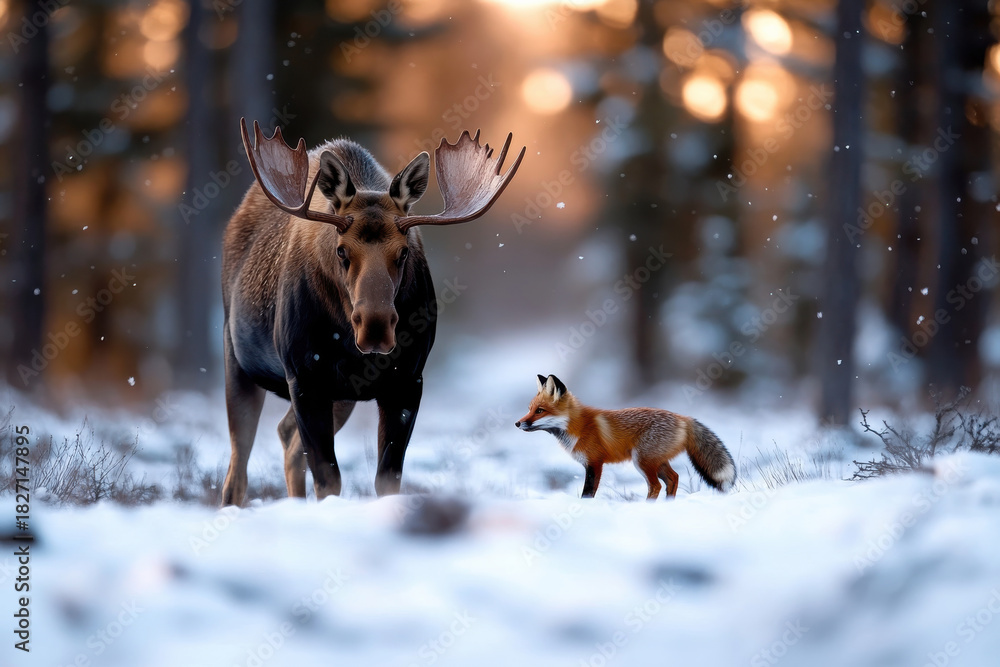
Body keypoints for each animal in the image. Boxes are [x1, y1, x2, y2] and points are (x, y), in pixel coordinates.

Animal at [220, 119, 524, 506]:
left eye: (404, 252)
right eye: (341, 250)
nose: (376, 328)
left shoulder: (407, 381)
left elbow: (387, 480)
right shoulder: (304, 378)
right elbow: (328, 479)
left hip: (341, 396)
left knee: (287, 437)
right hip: (238, 360)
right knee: (237, 471)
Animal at [515, 374, 736, 500]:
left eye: (540, 411)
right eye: (529, 409)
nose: (517, 423)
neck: (577, 427)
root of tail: (684, 418)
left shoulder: (594, 463)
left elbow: (588, 493)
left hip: (643, 461)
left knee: (656, 485)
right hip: (656, 461)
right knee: (673, 479)